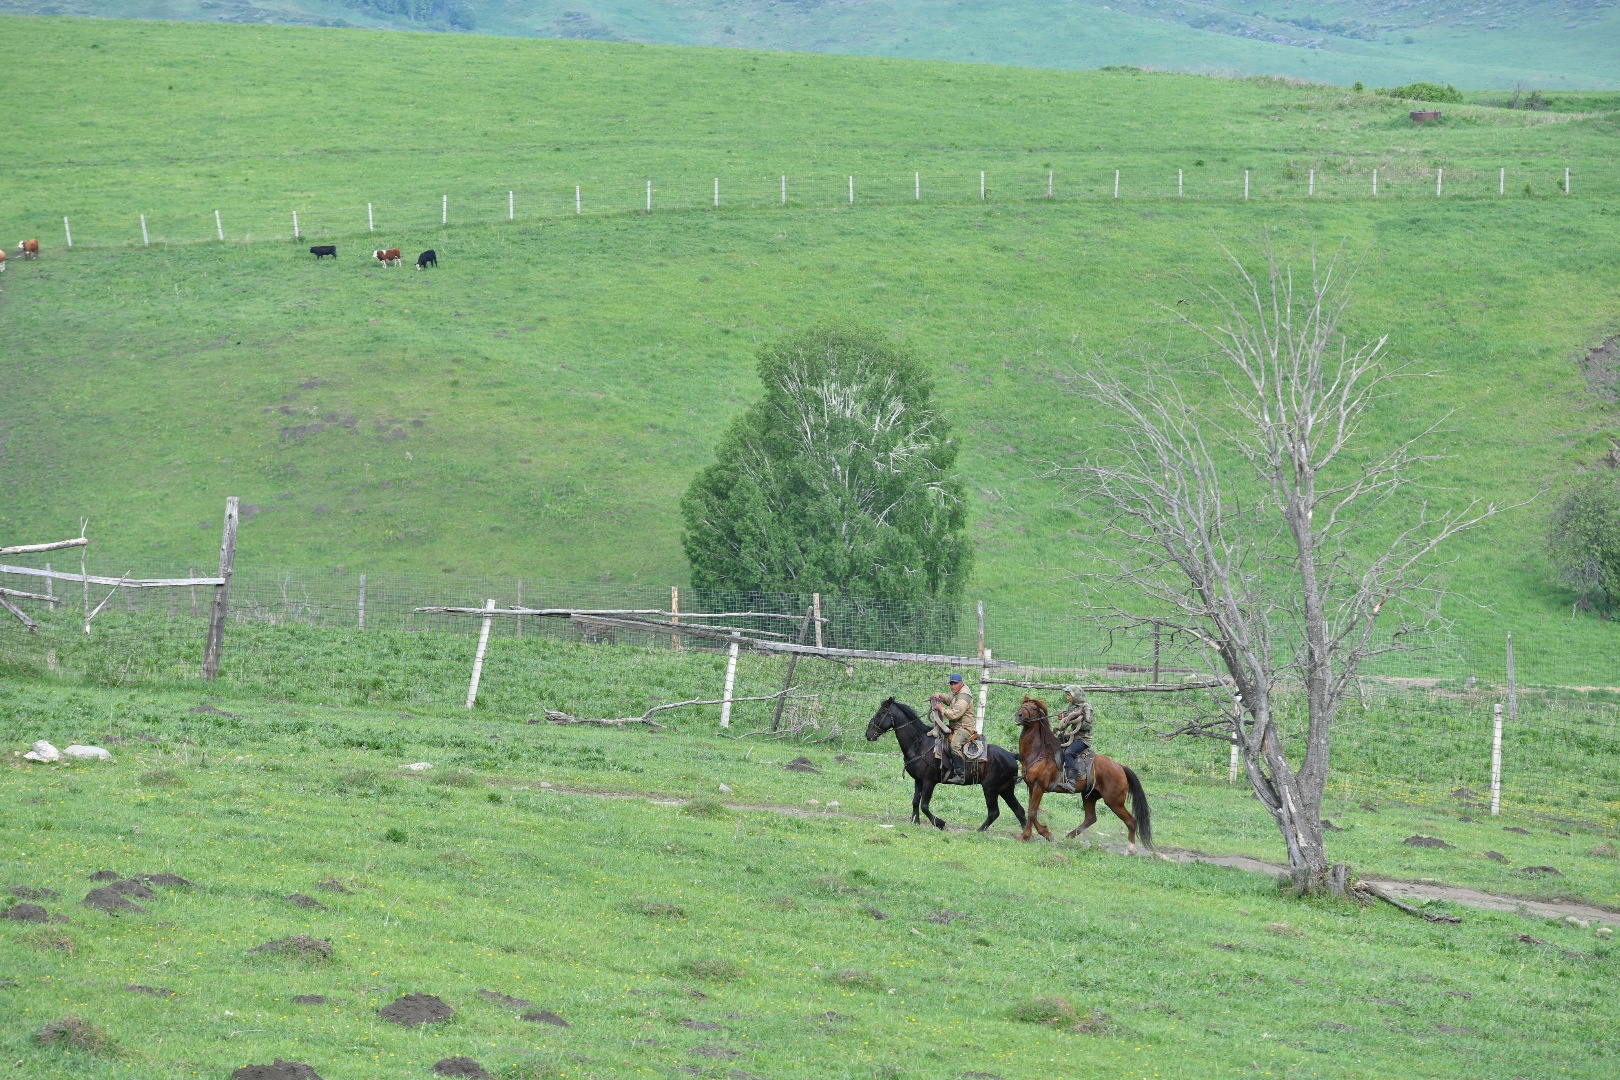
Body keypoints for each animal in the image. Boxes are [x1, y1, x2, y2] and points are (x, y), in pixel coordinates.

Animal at [861, 696, 1023, 835]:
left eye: (881, 713)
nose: (868, 734)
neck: (919, 743)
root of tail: (1011, 755)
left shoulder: (929, 781)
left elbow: (924, 805)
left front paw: (940, 823)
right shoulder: (918, 780)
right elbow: (915, 801)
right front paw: (915, 821)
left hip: (990, 789)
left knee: (994, 812)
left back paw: (980, 830)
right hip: (1006, 789)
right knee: (1018, 810)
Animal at [1010, 702, 1153, 854]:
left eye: (1033, 708)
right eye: (1023, 704)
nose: (1018, 715)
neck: (1040, 752)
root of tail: (1120, 767)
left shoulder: (1039, 787)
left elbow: (1032, 812)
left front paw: (1025, 836)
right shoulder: (1032, 787)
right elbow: (1033, 811)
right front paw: (1046, 833)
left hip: (1114, 802)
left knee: (1131, 821)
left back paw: (1130, 849)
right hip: (1089, 796)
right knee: (1090, 818)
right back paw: (1068, 836)